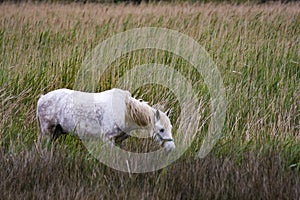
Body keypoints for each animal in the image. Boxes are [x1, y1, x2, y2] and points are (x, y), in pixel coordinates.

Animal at [36, 87, 176, 152]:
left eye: (170, 128)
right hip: (47, 133)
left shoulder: (119, 141)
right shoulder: (108, 140)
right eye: (161, 129)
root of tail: (42, 98)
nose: (171, 148)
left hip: (56, 133)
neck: (125, 111)